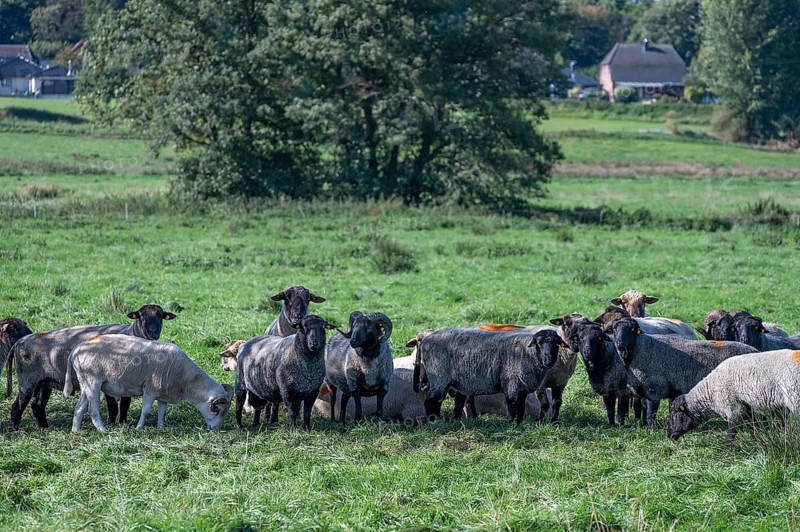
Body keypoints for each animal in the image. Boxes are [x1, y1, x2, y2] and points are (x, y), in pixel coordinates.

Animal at [7, 304, 177, 430]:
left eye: (161, 315)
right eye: (141, 315)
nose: (153, 331)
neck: (132, 333)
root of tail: (18, 343)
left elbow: (125, 404)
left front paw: (122, 422)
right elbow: (113, 406)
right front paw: (112, 423)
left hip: (44, 381)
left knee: (37, 406)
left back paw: (45, 427)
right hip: (27, 379)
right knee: (18, 406)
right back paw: (15, 430)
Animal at [64, 334, 233, 432]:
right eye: (216, 411)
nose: (215, 430)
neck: (186, 380)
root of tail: (77, 349)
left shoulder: (163, 394)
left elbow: (162, 412)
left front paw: (161, 428)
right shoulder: (150, 389)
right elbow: (145, 411)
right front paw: (139, 428)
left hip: (85, 382)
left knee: (79, 408)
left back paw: (76, 431)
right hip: (93, 380)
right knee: (92, 409)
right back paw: (102, 430)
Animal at [413, 328, 564, 424]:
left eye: (557, 344)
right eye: (539, 343)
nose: (549, 360)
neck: (527, 353)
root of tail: (426, 340)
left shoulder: (522, 388)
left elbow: (520, 409)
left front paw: (520, 425)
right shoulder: (511, 383)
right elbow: (512, 408)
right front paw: (511, 426)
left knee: (436, 401)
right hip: (438, 377)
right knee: (430, 401)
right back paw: (434, 422)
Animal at [610, 317, 759, 429]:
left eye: (632, 330)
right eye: (615, 328)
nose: (619, 343)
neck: (641, 349)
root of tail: (756, 351)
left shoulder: (654, 390)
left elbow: (650, 413)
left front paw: (650, 430)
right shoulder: (644, 390)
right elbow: (644, 410)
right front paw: (644, 427)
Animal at [668, 350, 800, 441]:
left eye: (674, 415)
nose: (668, 435)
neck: (710, 392)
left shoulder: (733, 408)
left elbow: (731, 434)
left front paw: (727, 454)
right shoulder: (748, 409)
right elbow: (754, 430)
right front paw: (758, 446)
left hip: (795, 398)